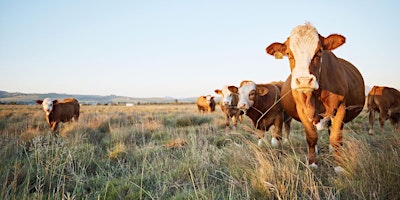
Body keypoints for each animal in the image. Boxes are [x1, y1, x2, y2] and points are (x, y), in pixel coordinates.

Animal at [266, 22, 366, 173]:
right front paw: (312, 163)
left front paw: (339, 166)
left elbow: (336, 139)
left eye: (319, 51)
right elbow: (311, 137)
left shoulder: (341, 108)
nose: (304, 80)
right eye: (288, 53)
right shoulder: (302, 111)